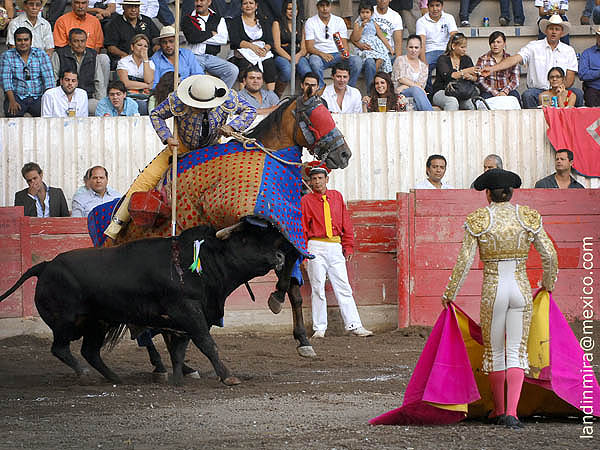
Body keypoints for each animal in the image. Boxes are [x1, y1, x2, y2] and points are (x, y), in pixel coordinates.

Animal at [0, 223, 296, 384]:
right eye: (244, 240)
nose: (280, 256)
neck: (201, 263)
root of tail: (46, 264)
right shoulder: (189, 312)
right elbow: (207, 344)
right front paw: (227, 376)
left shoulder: (184, 321)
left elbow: (179, 350)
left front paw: (178, 380)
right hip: (67, 322)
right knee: (61, 348)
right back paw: (84, 373)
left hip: (98, 322)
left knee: (90, 351)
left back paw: (113, 378)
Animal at [88, 87, 352, 376]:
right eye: (313, 117)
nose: (345, 155)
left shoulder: (285, 232)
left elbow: (292, 274)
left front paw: (297, 331)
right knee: (145, 326)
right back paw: (167, 365)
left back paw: (177, 365)